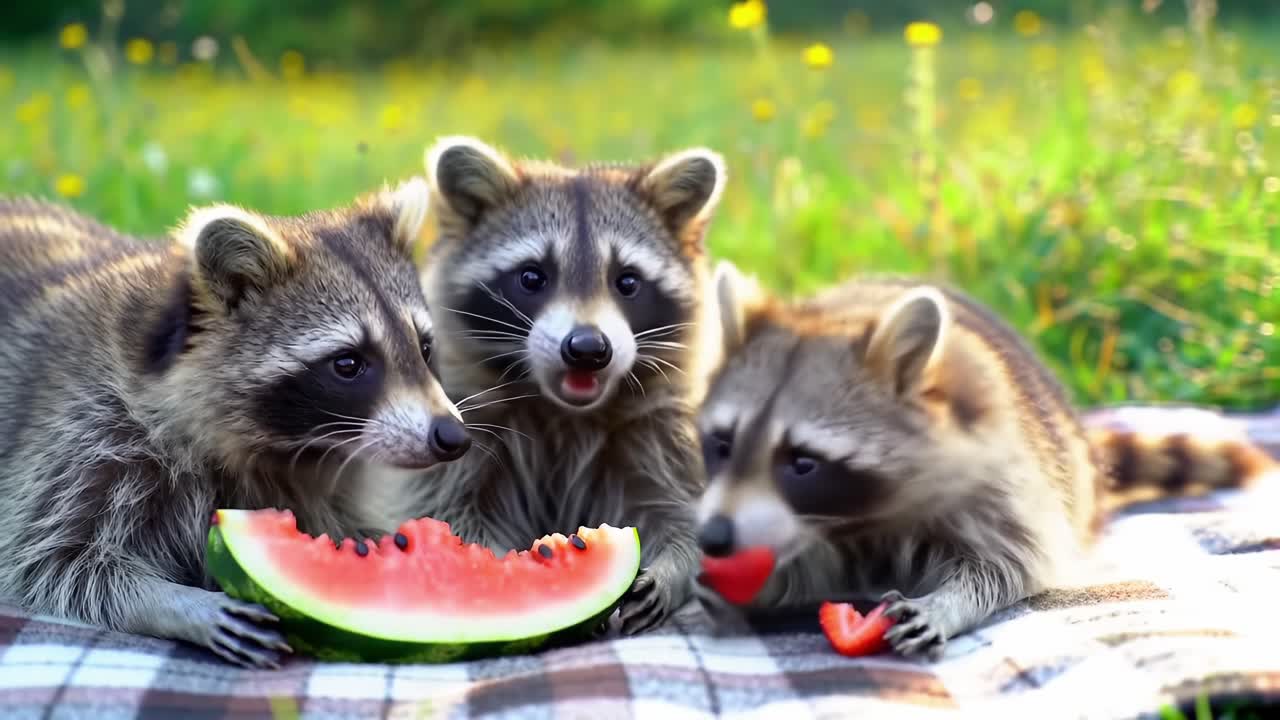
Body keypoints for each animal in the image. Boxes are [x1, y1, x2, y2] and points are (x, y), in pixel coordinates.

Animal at [0, 184, 471, 668]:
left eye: (424, 347)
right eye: (348, 364)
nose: (452, 436)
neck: (288, 446)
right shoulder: (88, 431)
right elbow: (56, 560)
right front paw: (171, 603)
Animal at [403, 136, 727, 634]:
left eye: (627, 282)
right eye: (532, 277)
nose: (588, 349)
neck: (566, 411)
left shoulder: (664, 434)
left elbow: (681, 512)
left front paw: (674, 568)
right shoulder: (462, 430)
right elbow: (454, 515)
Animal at [693, 266, 1276, 658]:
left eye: (802, 463)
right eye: (722, 444)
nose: (714, 537)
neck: (861, 518)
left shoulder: (1006, 479)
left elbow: (1011, 563)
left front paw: (948, 602)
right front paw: (759, 586)